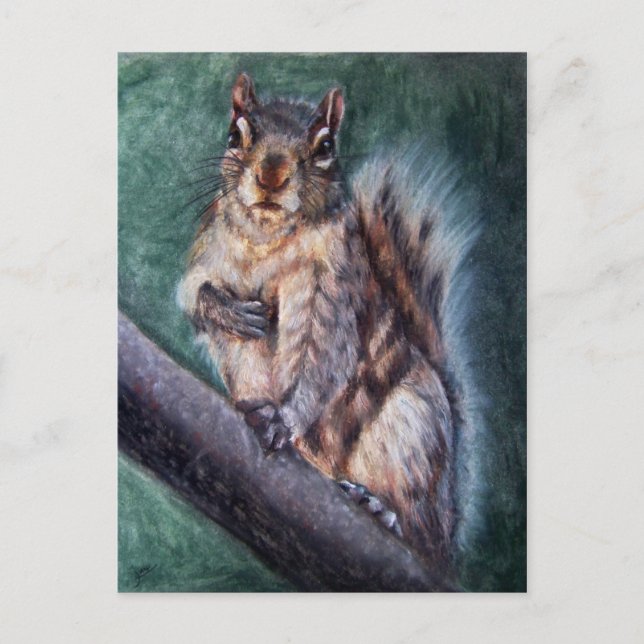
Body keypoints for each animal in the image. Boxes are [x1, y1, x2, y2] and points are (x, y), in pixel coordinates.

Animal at [178, 73, 463, 574]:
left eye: (326, 145)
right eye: (235, 135)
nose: (271, 175)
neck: (267, 237)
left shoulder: (333, 282)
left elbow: (323, 356)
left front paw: (284, 420)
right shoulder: (210, 248)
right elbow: (193, 292)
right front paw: (227, 311)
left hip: (413, 433)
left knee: (420, 530)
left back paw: (384, 511)